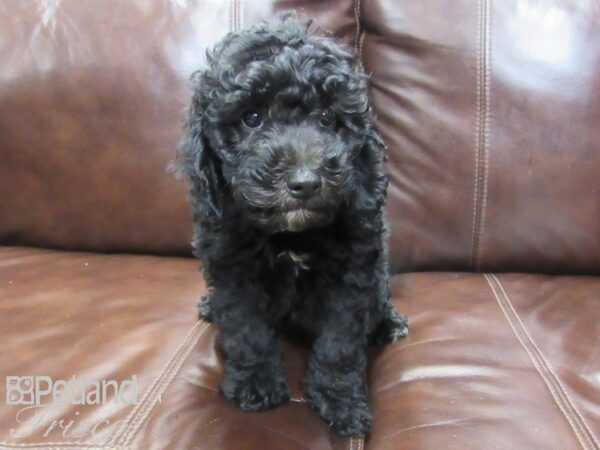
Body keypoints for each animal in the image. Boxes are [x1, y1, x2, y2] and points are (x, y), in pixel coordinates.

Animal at [179, 14, 408, 436]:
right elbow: (246, 330)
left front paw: (339, 399)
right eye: (252, 118)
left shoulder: (353, 274)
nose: (305, 183)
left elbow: (339, 344)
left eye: (327, 119)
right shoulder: (233, 269)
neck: (290, 235)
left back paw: (388, 323)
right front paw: (255, 384)